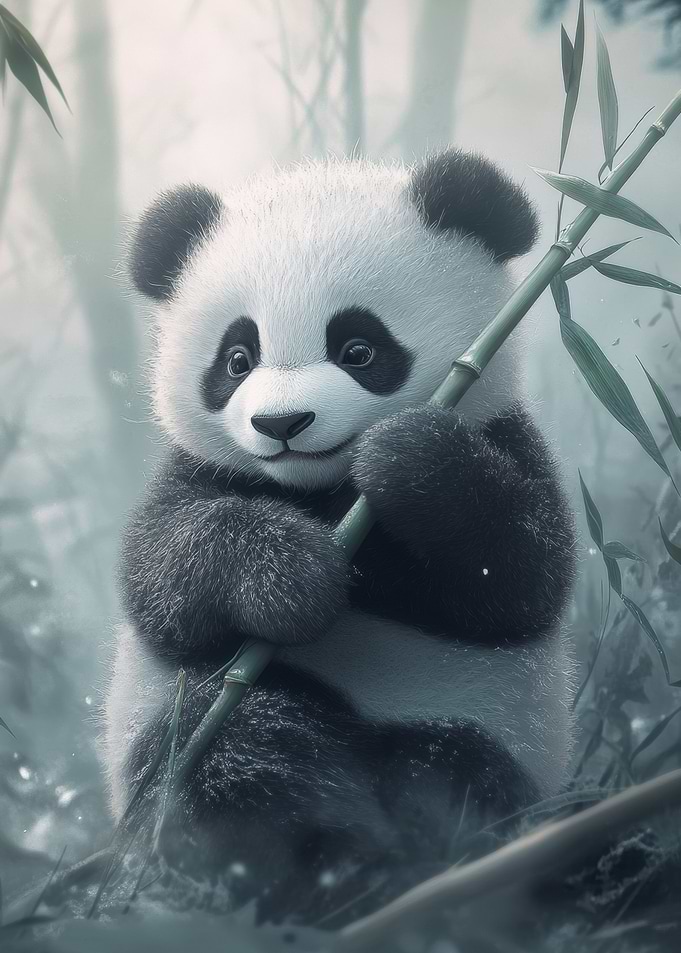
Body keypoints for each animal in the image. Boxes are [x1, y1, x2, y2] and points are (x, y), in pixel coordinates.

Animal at [103, 151, 577, 925]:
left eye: (358, 347)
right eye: (237, 359)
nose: (282, 424)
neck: (320, 487)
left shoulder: (504, 435)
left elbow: (522, 575)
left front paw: (407, 459)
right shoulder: (198, 472)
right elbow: (165, 577)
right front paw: (290, 575)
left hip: (479, 726)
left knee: (455, 772)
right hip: (178, 742)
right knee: (230, 752)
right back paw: (325, 859)